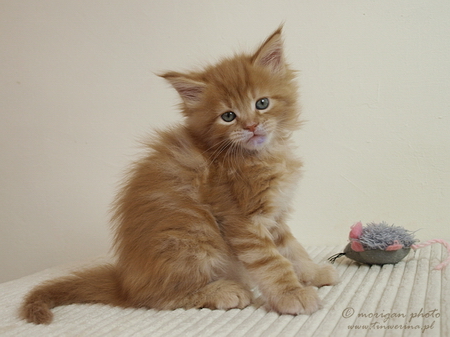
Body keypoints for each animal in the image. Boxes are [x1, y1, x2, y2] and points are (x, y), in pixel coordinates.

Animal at [21, 26, 338, 322]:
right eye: (228, 116)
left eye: (262, 103)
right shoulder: (242, 218)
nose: (250, 127)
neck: (262, 155)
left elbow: (293, 249)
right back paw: (224, 291)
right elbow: (273, 262)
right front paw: (292, 294)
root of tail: (125, 283)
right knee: (157, 298)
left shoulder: (275, 215)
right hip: (193, 237)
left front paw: (313, 273)